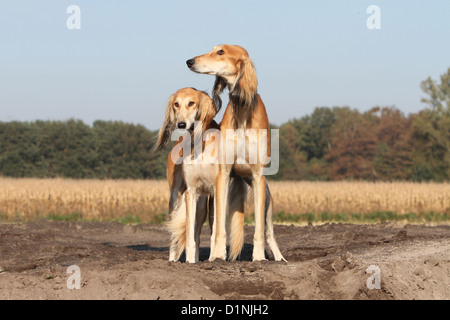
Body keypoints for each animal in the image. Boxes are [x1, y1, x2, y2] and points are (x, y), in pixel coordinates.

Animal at [186, 45, 284, 262]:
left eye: (221, 52)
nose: (189, 61)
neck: (242, 113)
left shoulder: (257, 176)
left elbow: (259, 229)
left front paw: (258, 257)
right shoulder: (223, 175)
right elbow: (219, 227)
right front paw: (217, 256)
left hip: (266, 196)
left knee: (269, 231)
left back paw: (279, 257)